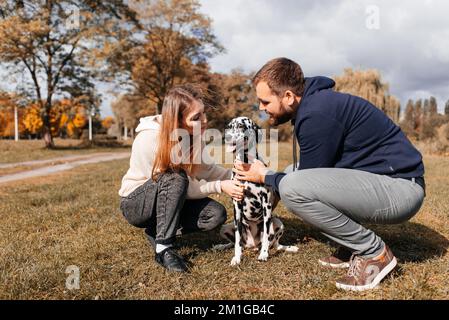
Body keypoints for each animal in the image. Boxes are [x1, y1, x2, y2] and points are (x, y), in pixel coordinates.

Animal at [215, 115, 300, 264]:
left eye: (241, 126)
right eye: (229, 126)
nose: (227, 137)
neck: (246, 165)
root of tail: (252, 245)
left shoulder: (266, 205)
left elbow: (266, 236)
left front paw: (264, 254)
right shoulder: (237, 206)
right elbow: (237, 240)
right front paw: (237, 257)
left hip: (278, 223)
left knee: (276, 244)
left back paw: (287, 248)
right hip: (225, 227)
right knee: (236, 242)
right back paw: (222, 246)